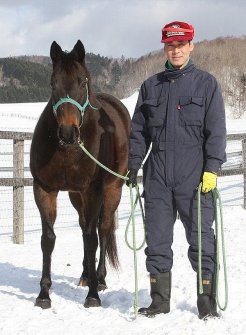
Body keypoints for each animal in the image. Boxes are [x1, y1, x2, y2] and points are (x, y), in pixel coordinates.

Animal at [29, 39, 131, 310]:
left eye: (82, 81)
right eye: (53, 82)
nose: (67, 133)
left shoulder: (93, 191)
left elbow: (92, 239)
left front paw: (93, 295)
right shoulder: (44, 189)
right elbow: (48, 239)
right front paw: (44, 294)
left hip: (112, 190)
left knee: (102, 230)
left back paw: (100, 279)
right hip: (77, 196)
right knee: (86, 225)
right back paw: (86, 275)